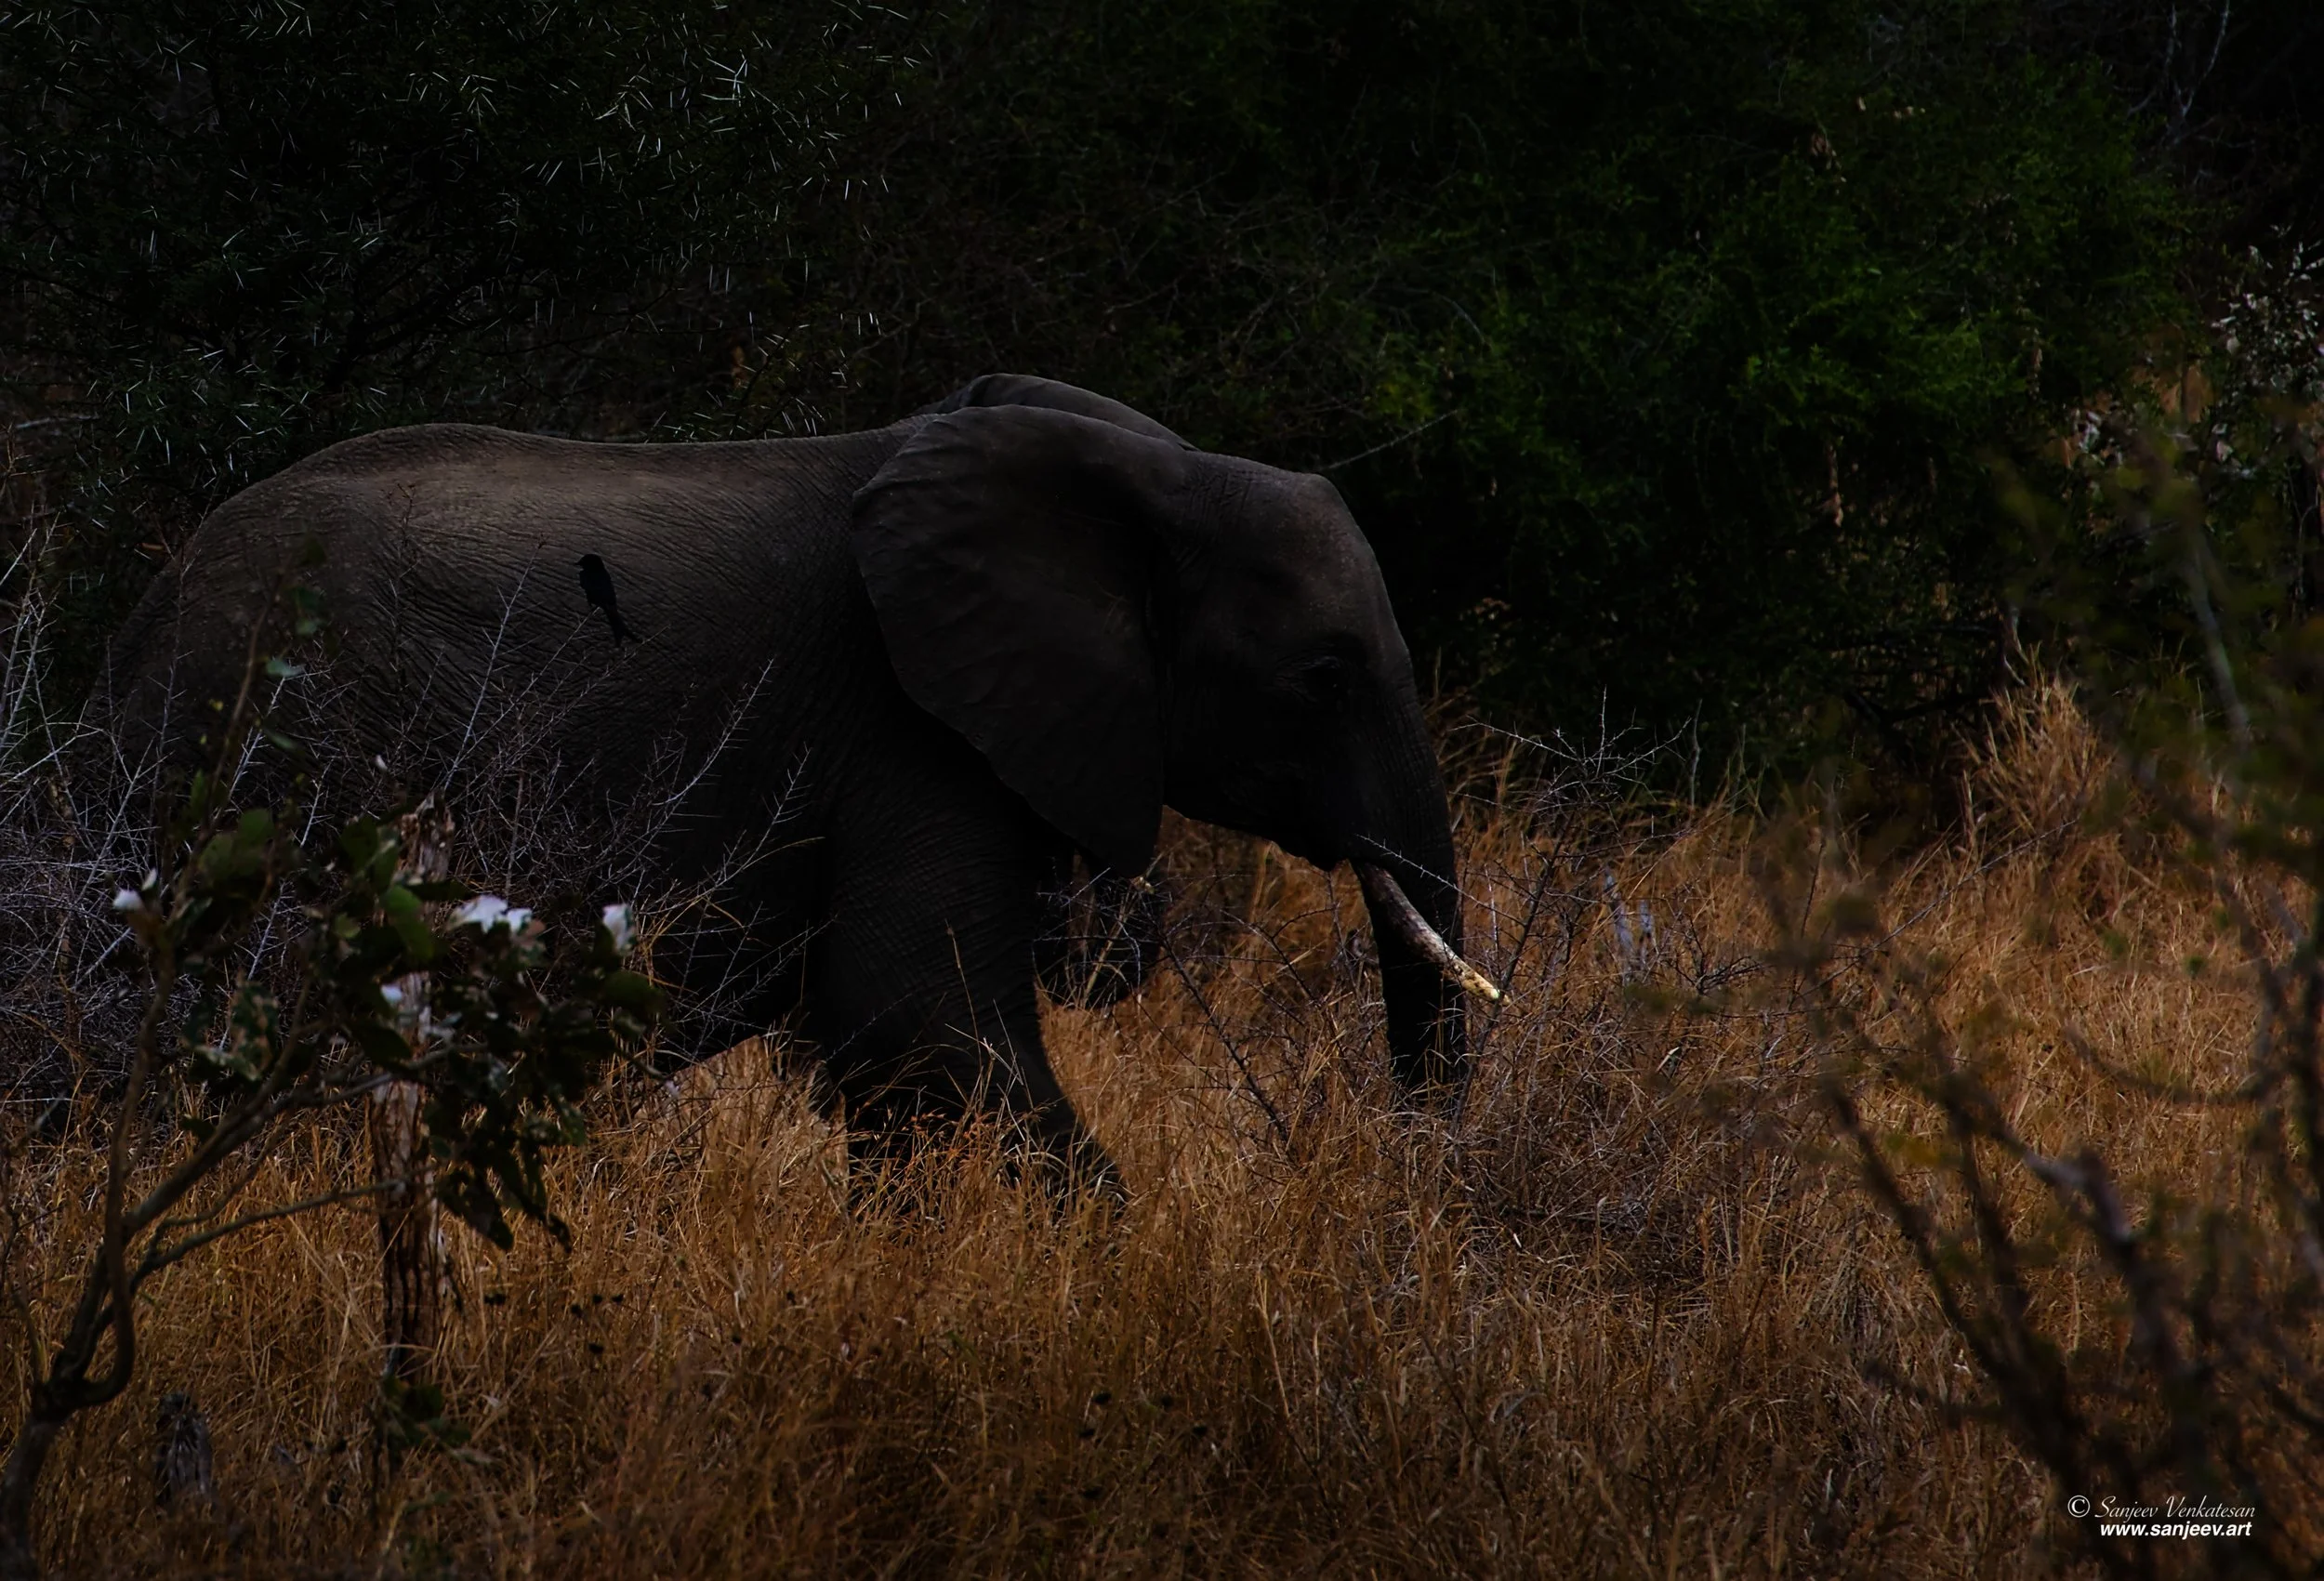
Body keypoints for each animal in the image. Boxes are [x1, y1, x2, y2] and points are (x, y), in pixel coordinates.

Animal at [100, 374, 1485, 1188]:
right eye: (1321, 676)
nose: (1409, 1183)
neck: (1142, 474)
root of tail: (149, 609)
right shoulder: (906, 725)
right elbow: (917, 1019)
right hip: (277, 755)